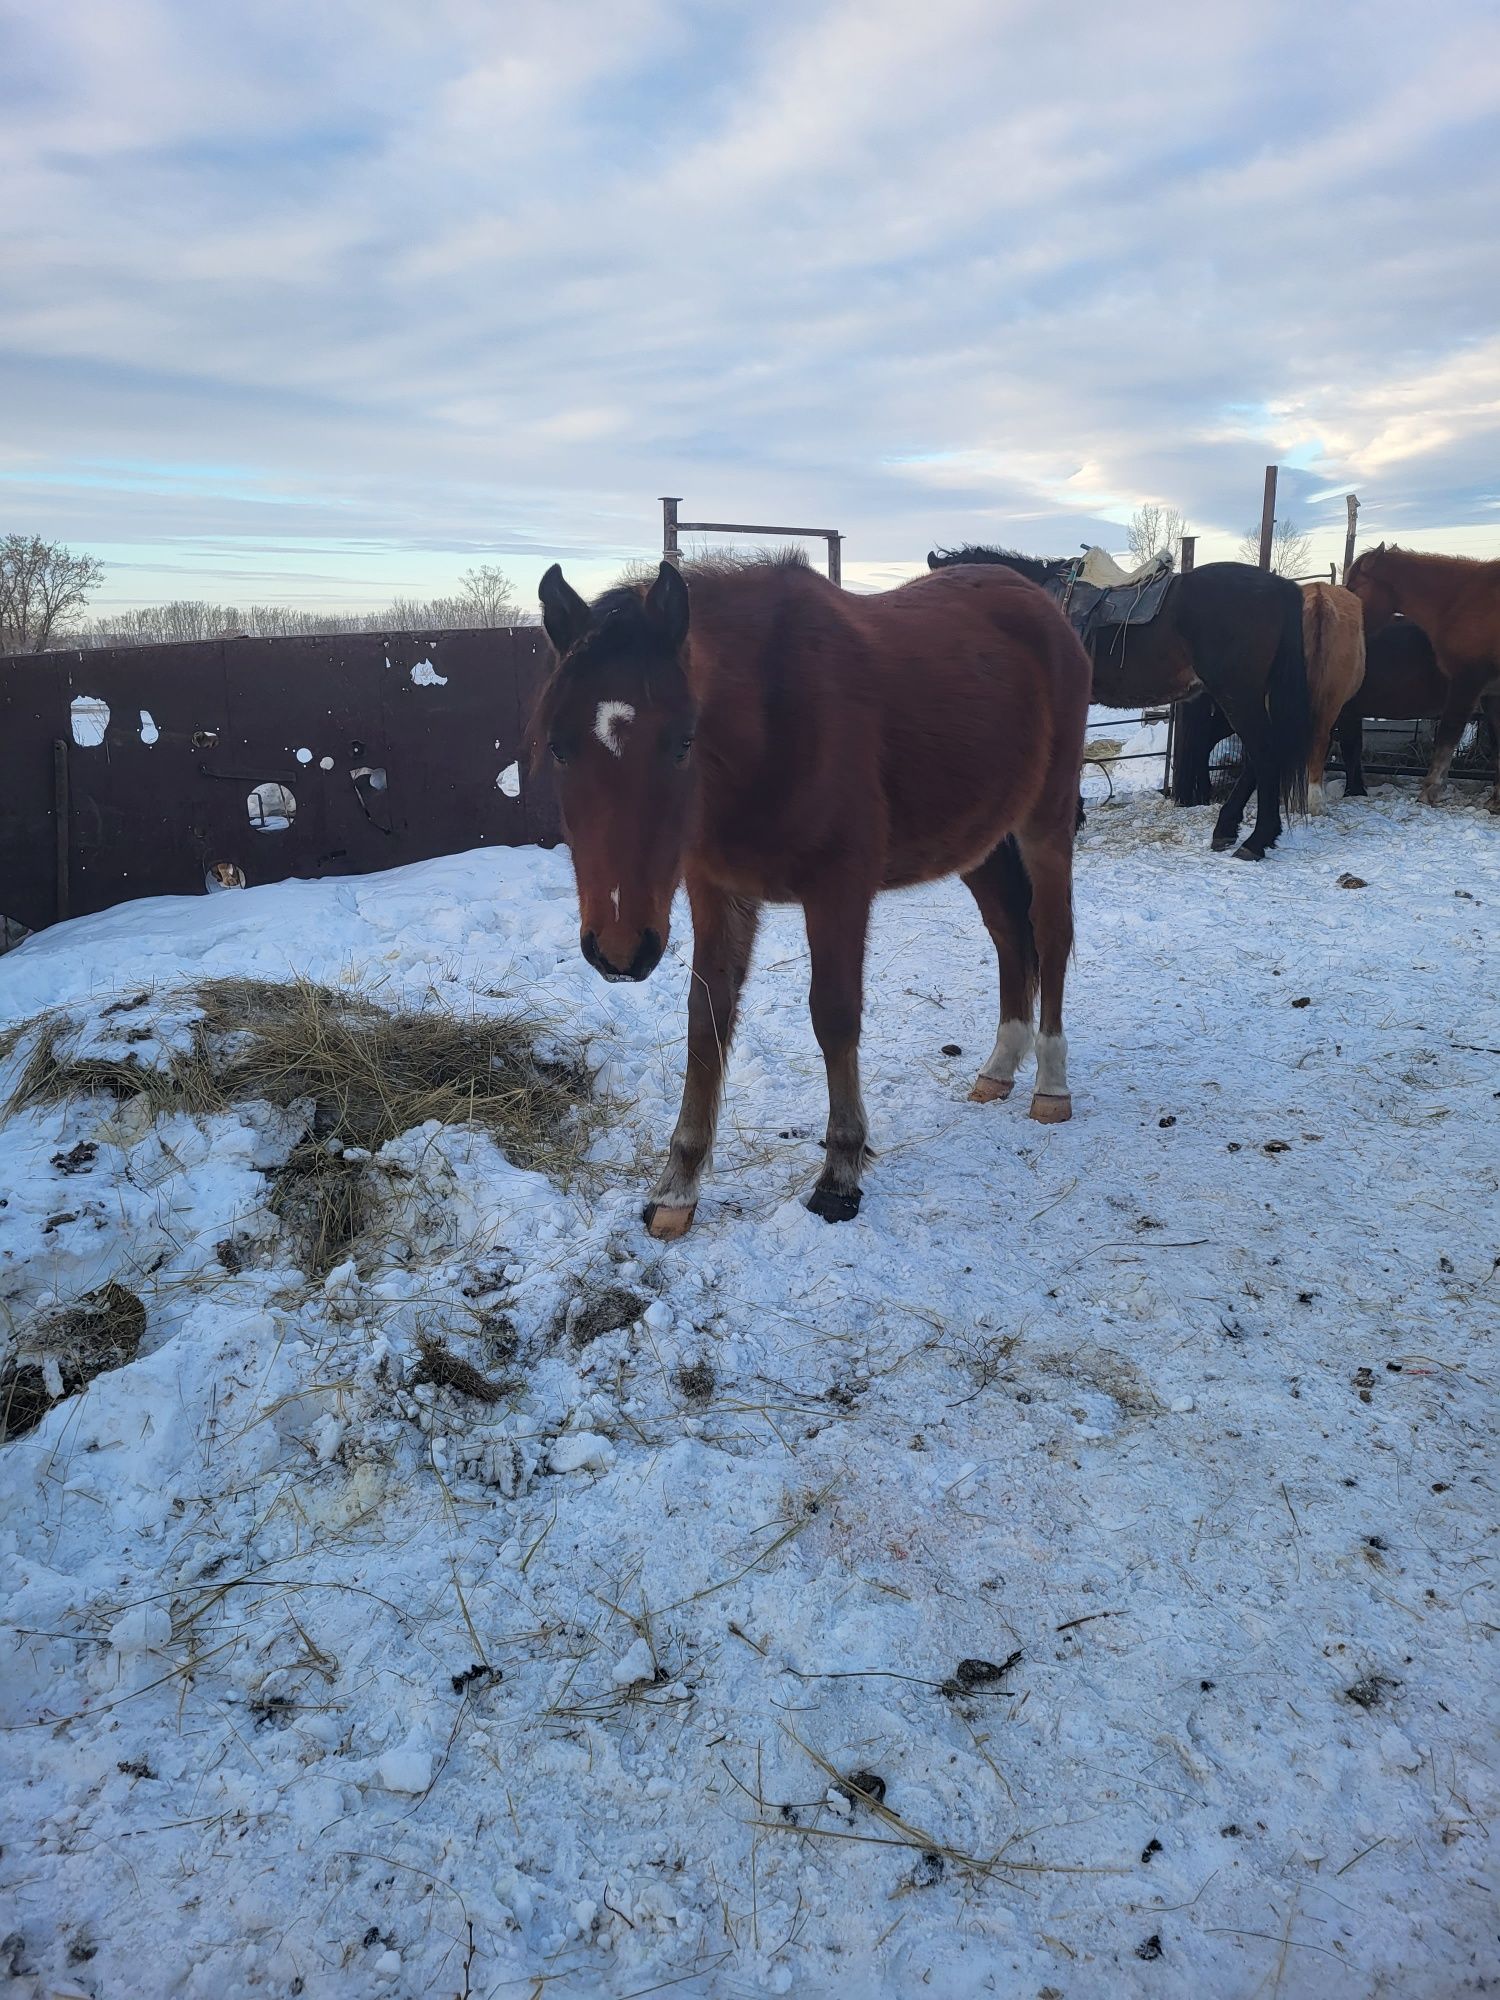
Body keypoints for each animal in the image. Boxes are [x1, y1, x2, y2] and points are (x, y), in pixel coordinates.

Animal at [536, 552, 1096, 1232]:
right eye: (558, 746)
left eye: (683, 741)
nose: (619, 949)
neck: (772, 725)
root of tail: (1042, 605)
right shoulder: (715, 892)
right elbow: (706, 1020)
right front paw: (677, 1187)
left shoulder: (839, 890)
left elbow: (834, 1015)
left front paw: (840, 1172)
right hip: (981, 841)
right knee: (1010, 935)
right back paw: (998, 1069)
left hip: (1046, 821)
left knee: (1052, 933)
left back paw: (1050, 1083)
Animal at [1352, 544, 1500, 808]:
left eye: (1354, 587)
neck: (1461, 601)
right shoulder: (1491, 693)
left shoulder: (1466, 683)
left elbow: (1447, 735)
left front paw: (1430, 790)